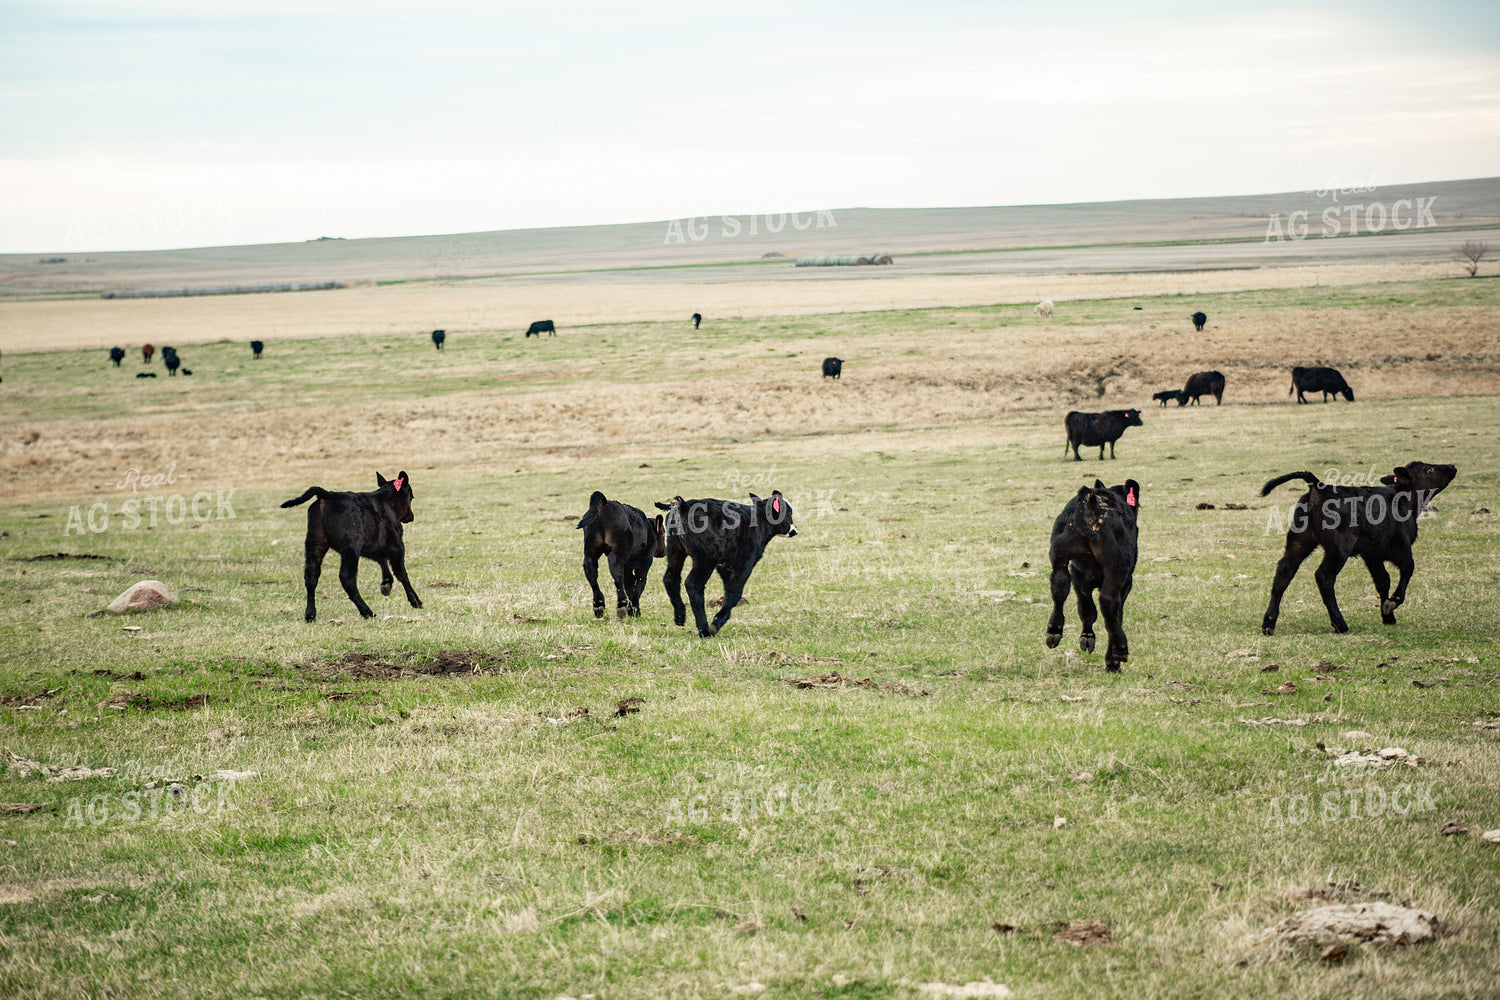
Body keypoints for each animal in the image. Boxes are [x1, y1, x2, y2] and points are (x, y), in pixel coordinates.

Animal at [280, 472, 422, 622]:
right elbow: (402, 574)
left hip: (315, 542)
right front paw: (415, 601)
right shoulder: (397, 546)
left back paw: (310, 614)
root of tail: (328, 495)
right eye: (411, 497)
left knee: (311, 576)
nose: (411, 516)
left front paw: (386, 583)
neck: (386, 502)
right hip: (351, 546)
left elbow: (382, 561)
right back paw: (367, 612)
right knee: (347, 578)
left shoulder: (374, 546)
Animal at [655, 492, 797, 637]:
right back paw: (704, 629)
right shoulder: (745, 564)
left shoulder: (725, 566)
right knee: (693, 584)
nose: (794, 530)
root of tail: (684, 506)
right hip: (705, 559)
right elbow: (735, 593)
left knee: (670, 579)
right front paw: (716, 623)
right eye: (789, 512)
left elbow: (729, 592)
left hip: (675, 551)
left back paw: (680, 616)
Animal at [1045, 478, 1141, 671]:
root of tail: (1091, 499)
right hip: (1116, 566)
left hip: (1060, 557)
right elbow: (1116, 614)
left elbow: (1086, 609)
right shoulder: (1127, 582)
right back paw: (1120, 649)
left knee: (1059, 590)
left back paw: (1054, 630)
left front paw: (1087, 637)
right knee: (1107, 601)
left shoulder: (1078, 575)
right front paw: (1113, 661)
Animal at [1259, 461, 1456, 635]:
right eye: (1428, 469)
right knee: (1324, 576)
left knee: (1284, 571)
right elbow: (1408, 568)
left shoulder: (1372, 554)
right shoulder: (1400, 547)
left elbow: (1382, 580)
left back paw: (1268, 623)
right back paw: (1340, 624)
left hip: (1300, 540)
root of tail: (1320, 486)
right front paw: (1392, 603)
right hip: (1339, 548)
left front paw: (1387, 616)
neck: (1404, 500)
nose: (1452, 466)